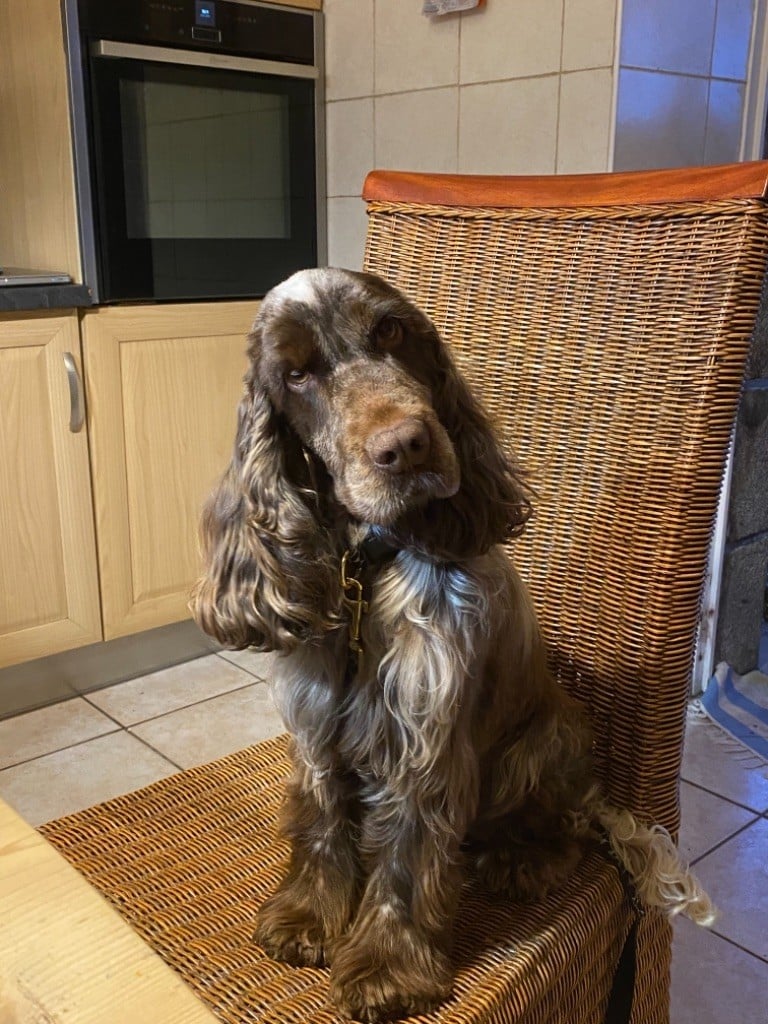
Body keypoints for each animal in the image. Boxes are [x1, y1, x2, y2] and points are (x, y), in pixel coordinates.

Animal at [192, 267, 714, 1022]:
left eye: (391, 330)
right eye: (295, 374)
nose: (405, 446)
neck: (364, 569)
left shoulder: (425, 733)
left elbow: (406, 858)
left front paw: (386, 967)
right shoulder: (318, 721)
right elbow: (321, 823)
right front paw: (307, 917)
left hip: (548, 739)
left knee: (560, 824)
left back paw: (519, 859)